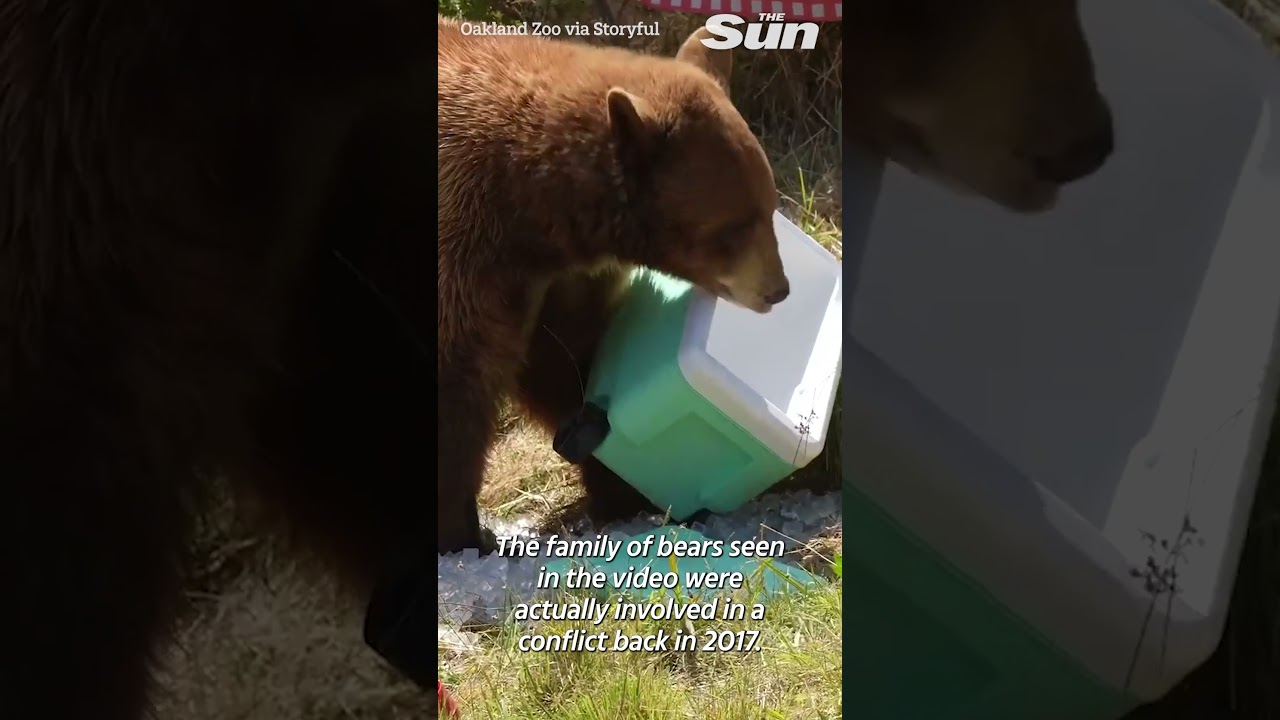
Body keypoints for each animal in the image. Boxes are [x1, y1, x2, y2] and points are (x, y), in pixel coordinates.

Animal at [437, 17, 791, 554]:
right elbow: (459, 376)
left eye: (770, 206)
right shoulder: (465, 250)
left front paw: (621, 484)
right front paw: (463, 531)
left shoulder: (550, 281)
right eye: (732, 226)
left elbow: (567, 356)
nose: (779, 289)